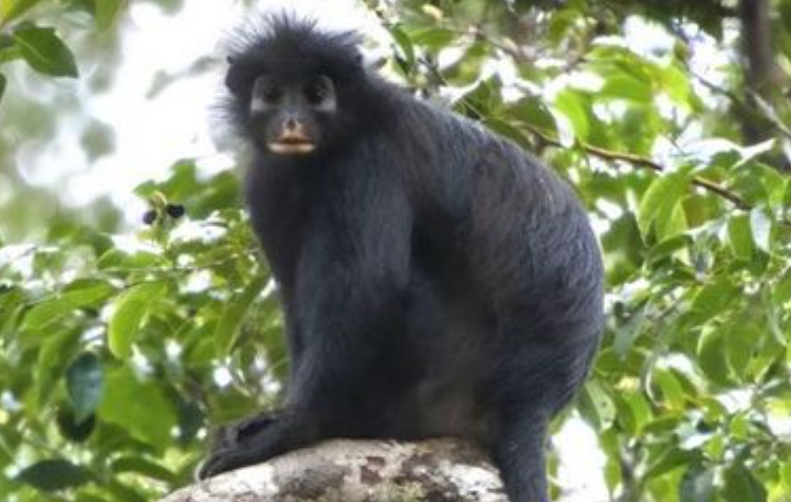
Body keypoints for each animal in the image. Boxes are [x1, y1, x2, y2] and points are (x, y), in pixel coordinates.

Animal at [199, 15, 604, 502]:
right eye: (273, 94)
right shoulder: (267, 182)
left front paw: (295, 427)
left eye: (316, 93)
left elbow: (369, 287)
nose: (292, 119)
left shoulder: (369, 159)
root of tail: (533, 399)